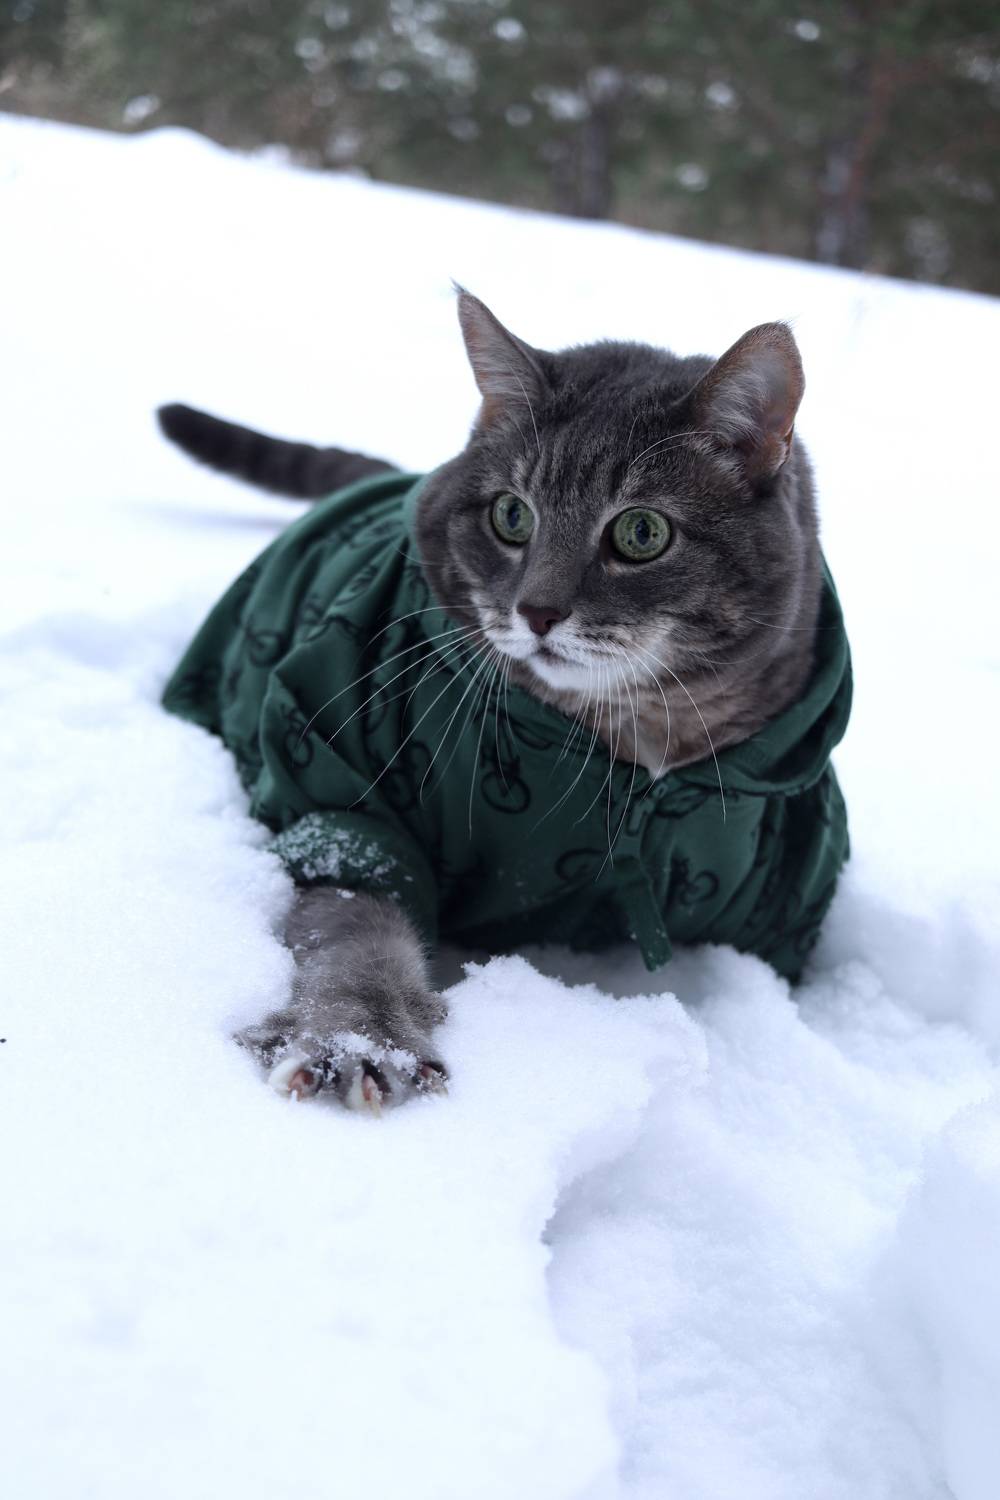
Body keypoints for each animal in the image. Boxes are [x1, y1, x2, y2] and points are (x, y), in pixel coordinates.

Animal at [159, 290, 850, 1113]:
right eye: (511, 516)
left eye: (642, 532)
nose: (538, 611)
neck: (635, 746)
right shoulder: (348, 811)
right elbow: (357, 934)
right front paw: (357, 1037)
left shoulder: (789, 905)